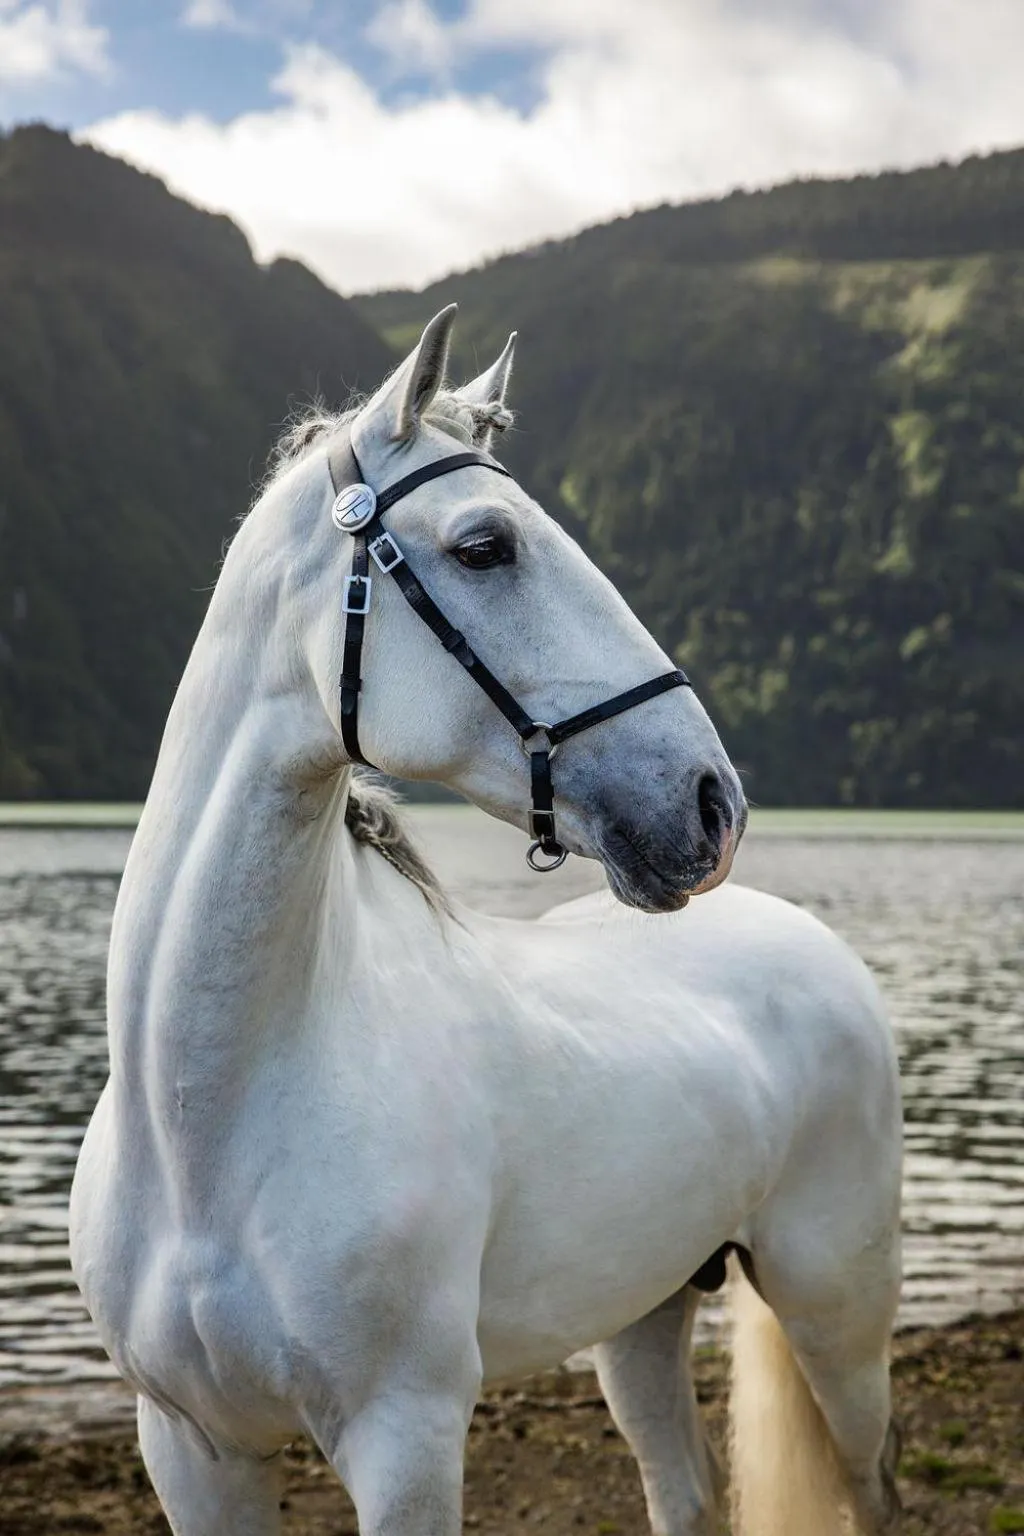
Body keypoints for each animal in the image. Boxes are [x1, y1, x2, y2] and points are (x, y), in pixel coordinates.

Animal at [70, 305, 903, 1536]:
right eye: (483, 547)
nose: (713, 803)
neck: (202, 1132)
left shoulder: (404, 1439)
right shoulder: (192, 1450)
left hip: (835, 1312)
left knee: (868, 1485)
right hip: (642, 1314)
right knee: (684, 1492)